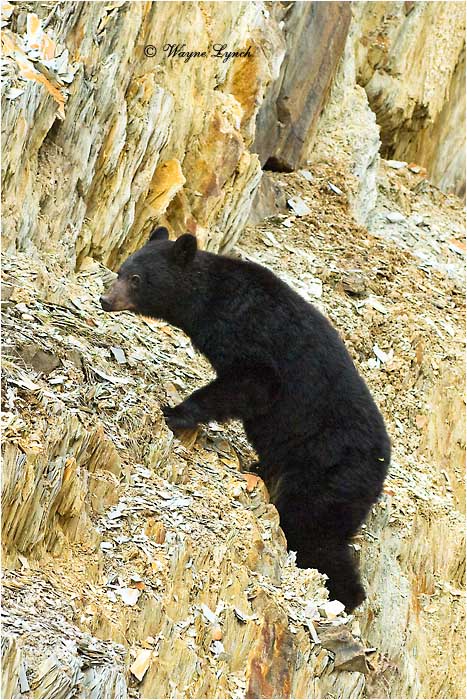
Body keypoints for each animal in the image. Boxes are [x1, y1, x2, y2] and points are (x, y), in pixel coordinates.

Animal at [100, 227, 391, 611]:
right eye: (121, 269)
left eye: (136, 278)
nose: (106, 299)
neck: (211, 299)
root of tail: (381, 469)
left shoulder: (251, 334)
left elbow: (253, 382)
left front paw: (176, 412)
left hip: (330, 472)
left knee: (310, 527)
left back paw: (342, 596)